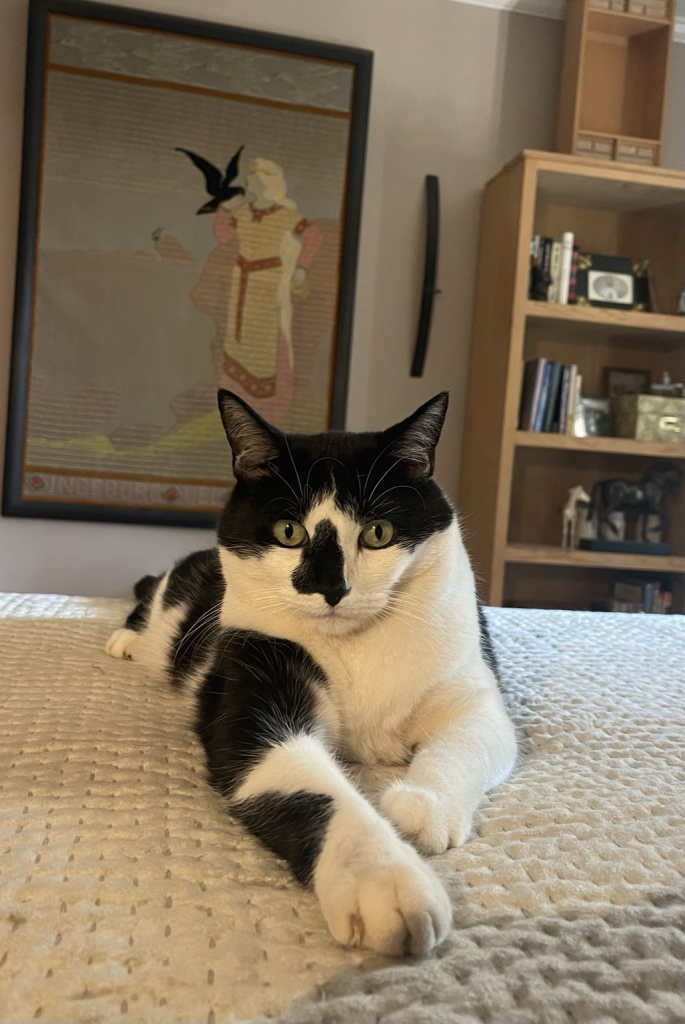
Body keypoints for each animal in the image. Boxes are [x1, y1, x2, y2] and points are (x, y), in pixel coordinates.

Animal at [105, 391, 511, 958]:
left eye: (378, 533)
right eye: (288, 532)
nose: (331, 587)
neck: (355, 647)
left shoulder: (473, 690)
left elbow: (467, 740)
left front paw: (421, 806)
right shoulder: (254, 690)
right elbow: (314, 786)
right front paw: (386, 879)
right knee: (149, 594)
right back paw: (125, 640)